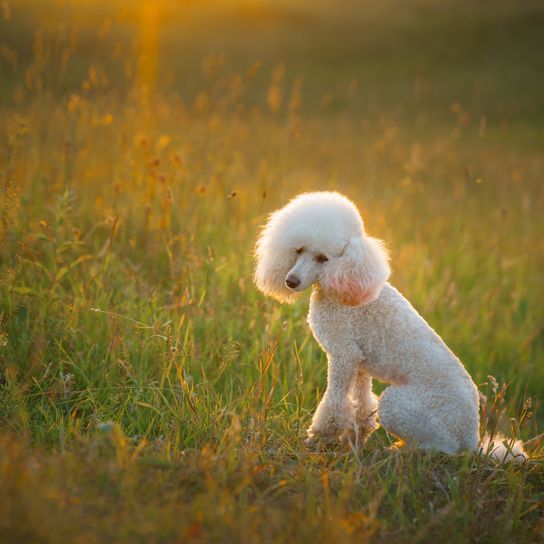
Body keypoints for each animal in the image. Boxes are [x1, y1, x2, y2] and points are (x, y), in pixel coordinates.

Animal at [255, 191, 528, 464]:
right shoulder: (359, 363)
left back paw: (402, 450)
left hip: (400, 406)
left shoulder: (343, 356)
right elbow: (361, 405)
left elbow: (334, 404)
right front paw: (354, 440)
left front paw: (318, 439)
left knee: (442, 448)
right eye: (298, 250)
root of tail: (472, 437)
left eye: (323, 258)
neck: (346, 285)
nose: (291, 281)